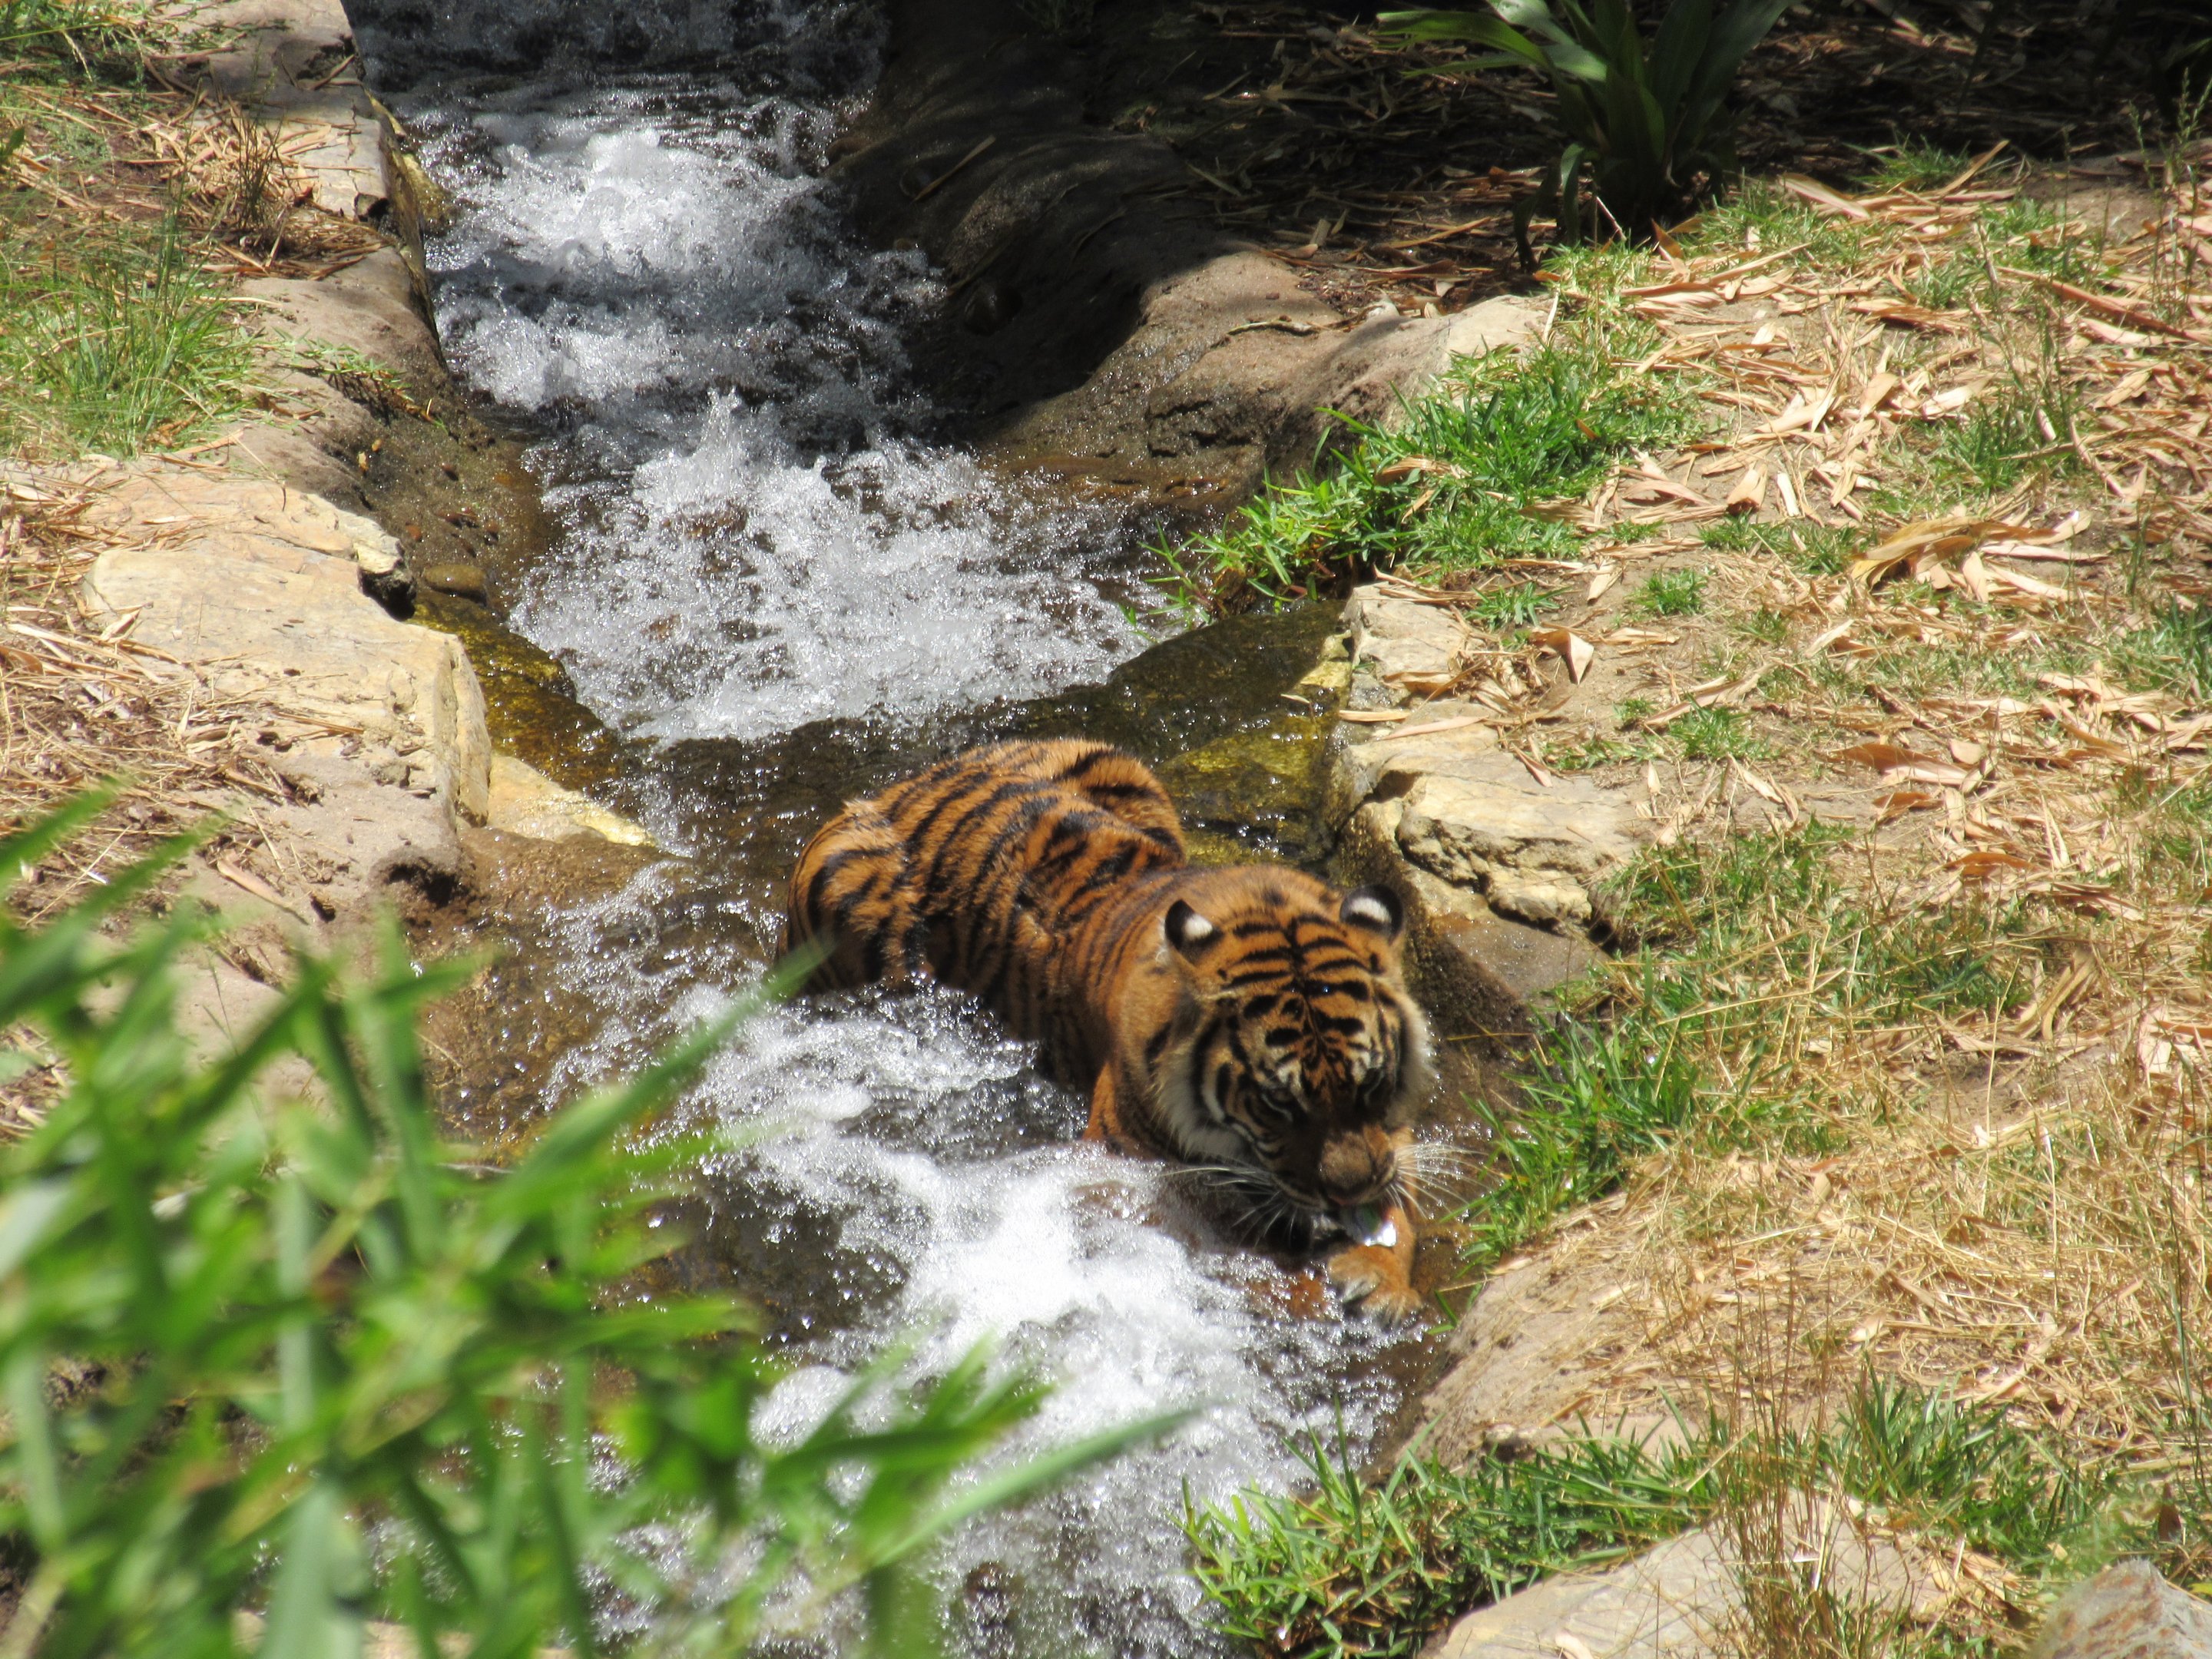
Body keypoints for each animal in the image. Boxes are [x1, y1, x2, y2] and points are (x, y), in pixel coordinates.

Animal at [781, 738, 1436, 1323]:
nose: (1348, 1197)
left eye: (1372, 1085)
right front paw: (1303, 1291)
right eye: (1277, 1104)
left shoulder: (1389, 1131)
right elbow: (1220, 1246)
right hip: (846, 887)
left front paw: (1378, 1277)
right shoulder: (1122, 1168)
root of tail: (907, 783)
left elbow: (1400, 1195)